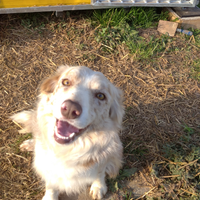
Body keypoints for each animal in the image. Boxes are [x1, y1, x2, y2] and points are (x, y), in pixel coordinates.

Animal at [10, 66, 124, 200]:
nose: (70, 109)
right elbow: (51, 184)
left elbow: (100, 172)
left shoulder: (105, 155)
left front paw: (98, 187)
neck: (67, 150)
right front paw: (50, 197)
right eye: (66, 82)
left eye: (101, 96)